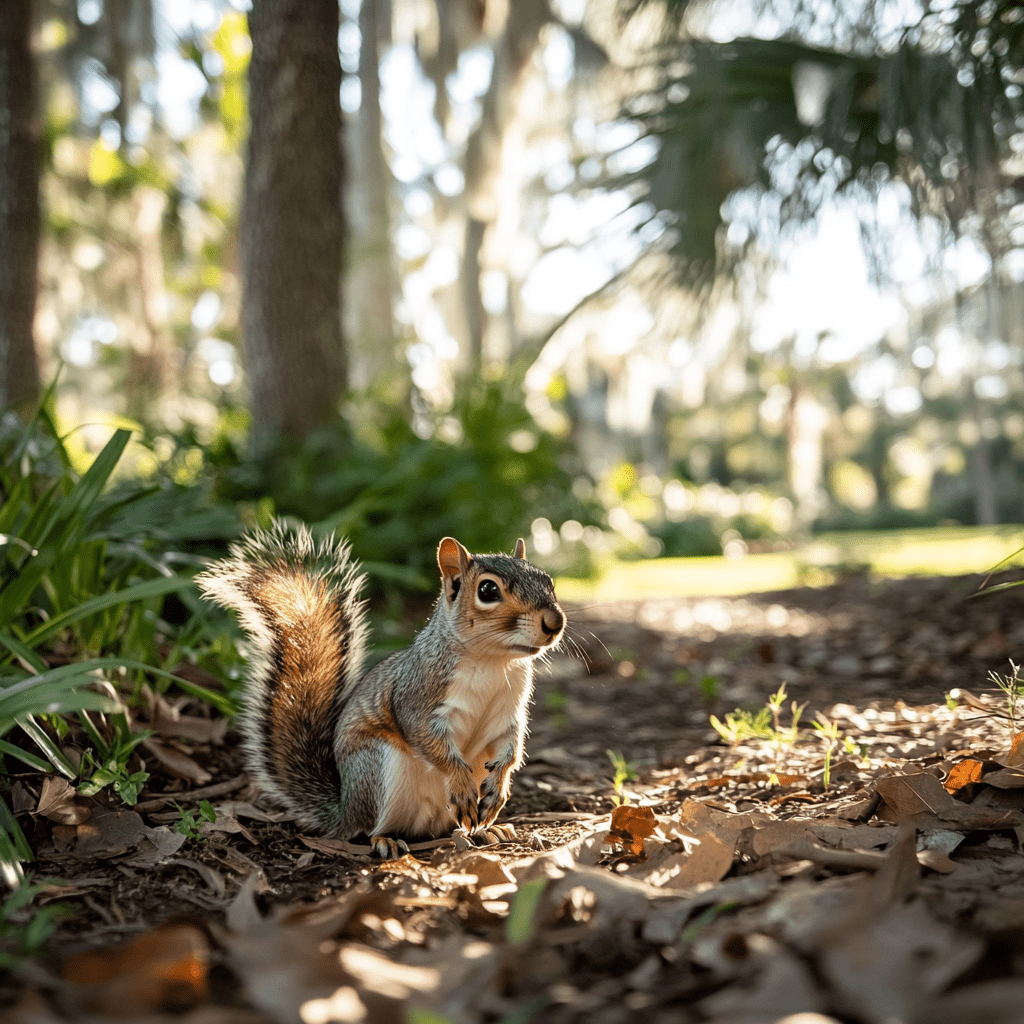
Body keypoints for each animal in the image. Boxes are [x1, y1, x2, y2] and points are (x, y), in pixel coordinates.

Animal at [195, 520, 565, 856]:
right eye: (488, 591)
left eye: (548, 581)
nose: (555, 622)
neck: (493, 661)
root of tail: (343, 809)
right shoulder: (416, 695)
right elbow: (428, 740)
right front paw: (460, 782)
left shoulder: (509, 709)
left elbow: (511, 746)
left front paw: (500, 785)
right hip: (379, 769)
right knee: (369, 828)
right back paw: (386, 839)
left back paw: (486, 830)